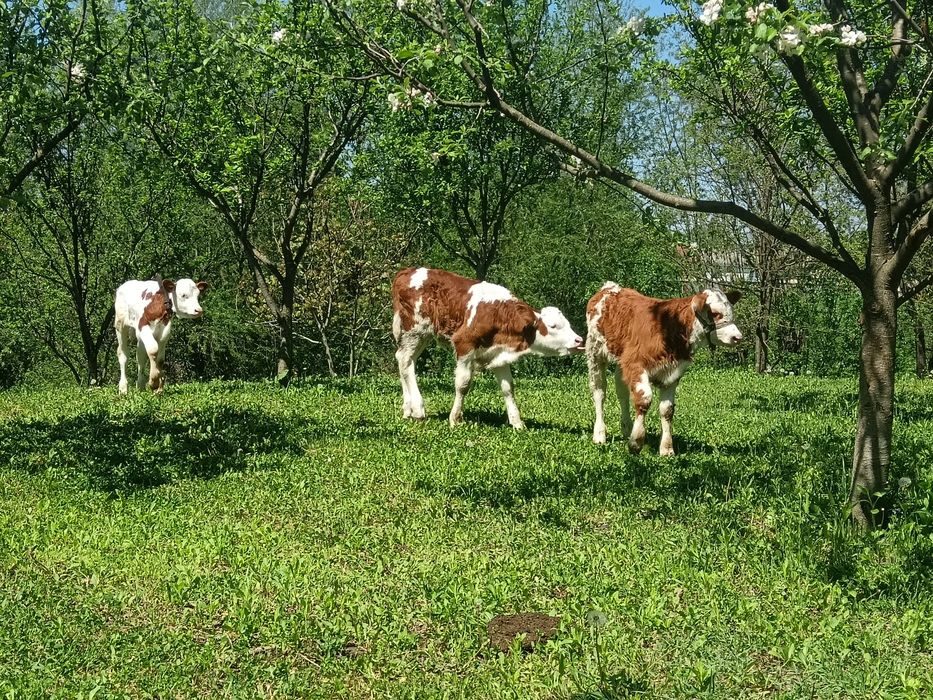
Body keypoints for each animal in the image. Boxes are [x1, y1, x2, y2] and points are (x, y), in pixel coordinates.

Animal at [392, 267, 584, 429]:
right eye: (553, 326)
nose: (579, 340)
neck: (498, 314)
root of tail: (406, 271)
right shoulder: (464, 344)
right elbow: (462, 384)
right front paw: (455, 418)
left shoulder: (498, 354)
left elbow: (508, 388)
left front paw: (517, 423)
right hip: (414, 330)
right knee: (406, 363)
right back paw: (418, 409)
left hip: (421, 335)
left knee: (403, 360)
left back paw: (408, 409)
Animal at [586, 284, 742, 455]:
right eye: (715, 313)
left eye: (731, 311)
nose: (738, 337)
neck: (670, 327)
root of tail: (610, 287)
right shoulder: (636, 364)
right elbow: (644, 400)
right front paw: (636, 442)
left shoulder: (672, 374)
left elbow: (667, 410)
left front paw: (666, 448)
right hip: (595, 353)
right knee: (599, 392)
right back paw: (600, 434)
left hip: (621, 361)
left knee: (622, 392)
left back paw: (626, 428)